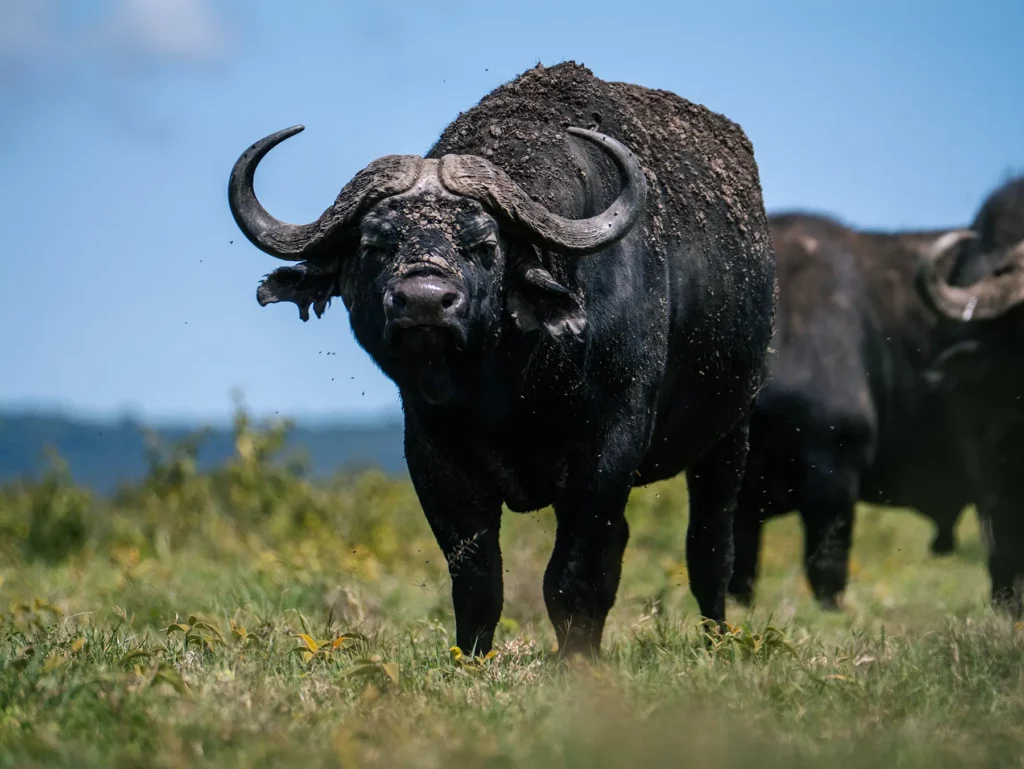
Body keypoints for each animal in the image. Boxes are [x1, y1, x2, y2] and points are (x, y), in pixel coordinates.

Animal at [227, 62, 777, 657]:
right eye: (374, 243)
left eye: (484, 244)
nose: (425, 300)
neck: (510, 386)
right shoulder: (432, 454)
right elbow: (477, 580)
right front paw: (473, 658)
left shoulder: (608, 449)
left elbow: (572, 577)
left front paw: (574, 662)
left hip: (730, 435)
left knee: (709, 548)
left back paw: (717, 637)